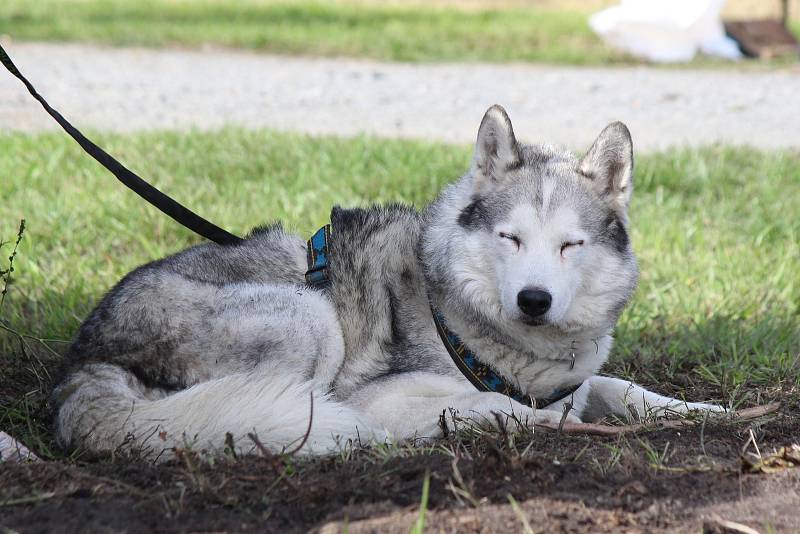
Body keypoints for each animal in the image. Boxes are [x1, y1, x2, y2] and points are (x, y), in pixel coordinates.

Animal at [53, 107, 720, 458]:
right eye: (510, 238)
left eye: (570, 245)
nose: (534, 301)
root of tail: (80, 367)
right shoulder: (384, 394)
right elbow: (495, 404)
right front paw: (525, 421)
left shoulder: (579, 381)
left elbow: (617, 387)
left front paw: (696, 409)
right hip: (309, 318)